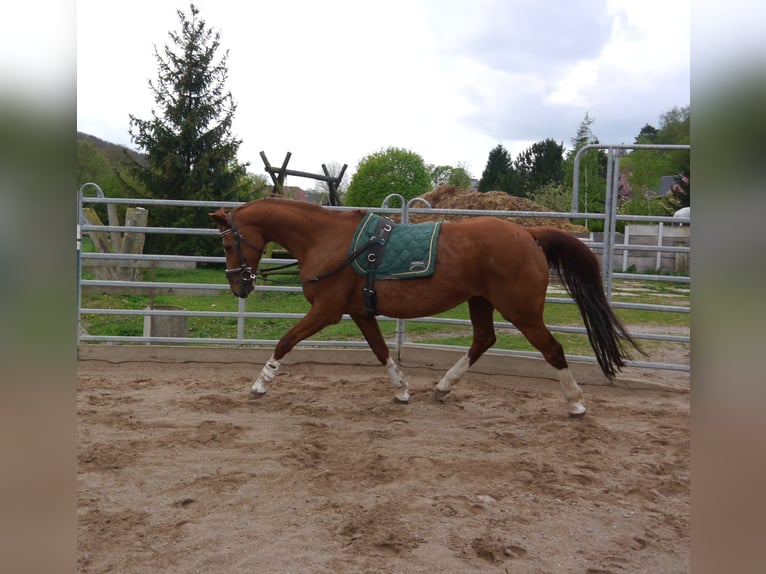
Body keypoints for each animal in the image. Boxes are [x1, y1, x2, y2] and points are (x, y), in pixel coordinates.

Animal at [208, 198, 640, 418]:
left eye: (228, 243)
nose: (238, 285)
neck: (327, 240)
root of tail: (528, 233)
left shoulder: (326, 312)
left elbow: (286, 340)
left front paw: (259, 385)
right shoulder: (360, 313)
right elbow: (382, 351)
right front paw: (401, 391)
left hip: (522, 311)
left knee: (552, 350)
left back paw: (576, 403)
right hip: (480, 302)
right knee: (483, 340)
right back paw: (444, 387)